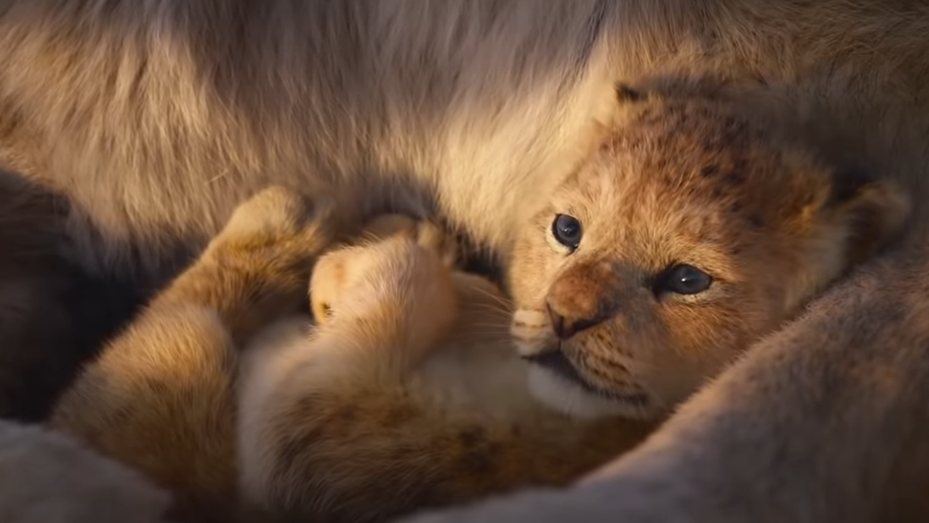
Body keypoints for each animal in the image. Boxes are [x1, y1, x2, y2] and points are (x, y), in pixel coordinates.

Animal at [2, 1, 929, 520]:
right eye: (567, 229)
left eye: (687, 280)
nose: (563, 315)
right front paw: (378, 251)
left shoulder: (319, 439)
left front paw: (390, 252)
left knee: (174, 337)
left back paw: (291, 218)